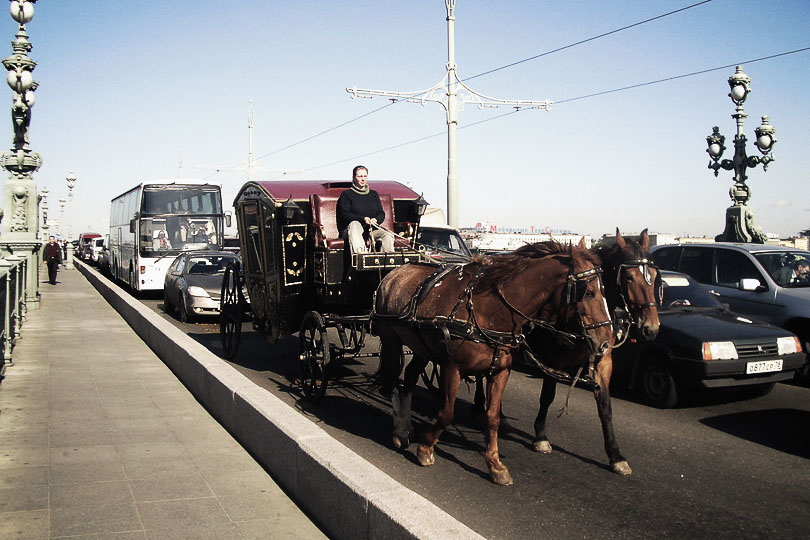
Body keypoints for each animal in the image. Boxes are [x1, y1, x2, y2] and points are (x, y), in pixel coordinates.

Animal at [372, 242, 612, 486]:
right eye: (588, 292)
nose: (606, 342)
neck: (488, 309)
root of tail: (394, 273)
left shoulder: (500, 371)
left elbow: (493, 417)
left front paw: (495, 464)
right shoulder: (451, 368)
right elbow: (447, 413)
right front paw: (426, 448)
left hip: (422, 349)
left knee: (410, 378)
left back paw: (407, 425)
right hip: (391, 341)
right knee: (393, 381)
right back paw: (400, 431)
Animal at [528, 230, 660, 474]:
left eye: (655, 276)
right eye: (629, 277)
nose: (651, 328)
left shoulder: (602, 361)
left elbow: (605, 408)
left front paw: (615, 455)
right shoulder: (554, 360)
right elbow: (547, 396)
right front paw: (540, 435)